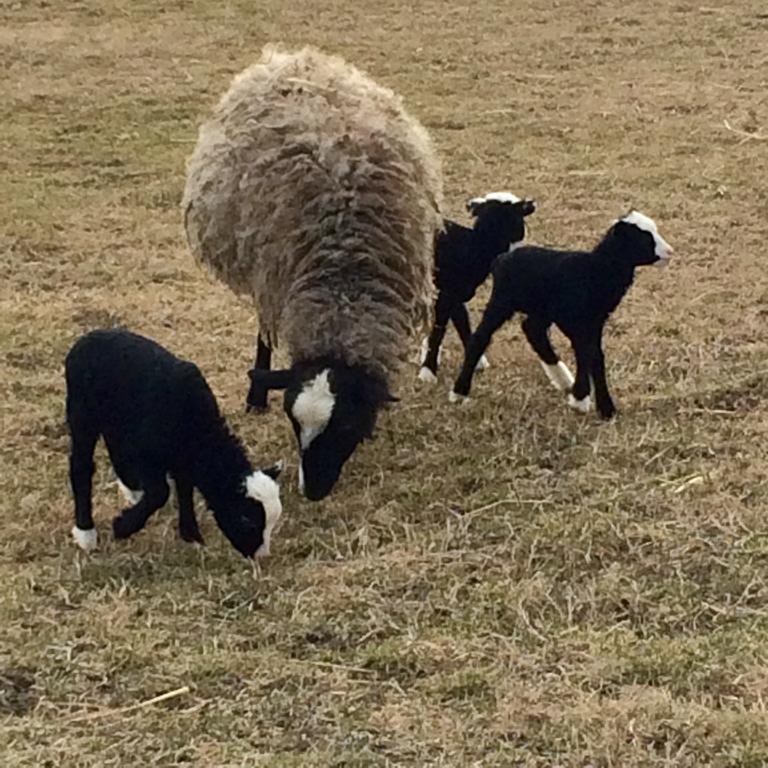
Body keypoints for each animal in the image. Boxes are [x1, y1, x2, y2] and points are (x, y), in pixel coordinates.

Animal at [65, 330, 282, 560]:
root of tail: (88, 338)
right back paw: (86, 533)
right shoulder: (147, 454)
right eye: (247, 520)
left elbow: (184, 488)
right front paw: (122, 527)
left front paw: (190, 533)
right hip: (82, 414)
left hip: (113, 422)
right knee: (81, 466)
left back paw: (132, 490)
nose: (261, 556)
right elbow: (160, 493)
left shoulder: (181, 456)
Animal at [182, 45, 440, 500]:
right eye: (292, 421)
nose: (313, 490)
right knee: (264, 328)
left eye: (350, 424)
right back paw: (255, 394)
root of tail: (293, 57)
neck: (344, 278)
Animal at [450, 208, 672, 420]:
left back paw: (564, 379)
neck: (596, 271)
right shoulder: (576, 321)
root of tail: (502, 259)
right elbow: (586, 353)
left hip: (541, 309)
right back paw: (459, 391)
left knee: (533, 331)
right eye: (643, 237)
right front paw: (581, 399)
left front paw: (604, 408)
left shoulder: (594, 321)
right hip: (502, 301)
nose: (670, 252)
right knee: (481, 337)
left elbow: (596, 356)